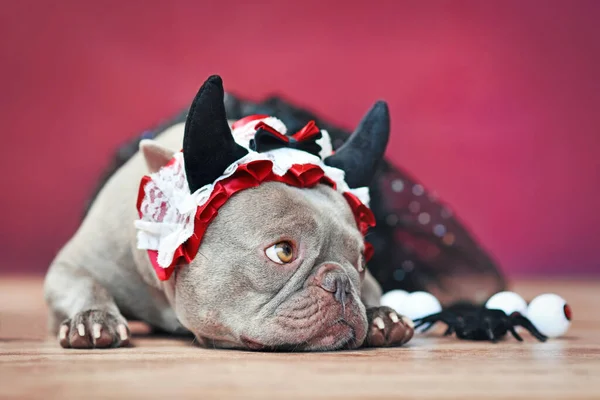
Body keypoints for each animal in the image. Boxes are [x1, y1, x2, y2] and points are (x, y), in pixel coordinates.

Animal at [44, 75, 414, 350]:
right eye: (282, 252)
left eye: (360, 262)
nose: (341, 283)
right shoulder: (72, 266)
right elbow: (84, 285)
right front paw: (93, 318)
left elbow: (375, 290)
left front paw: (381, 314)